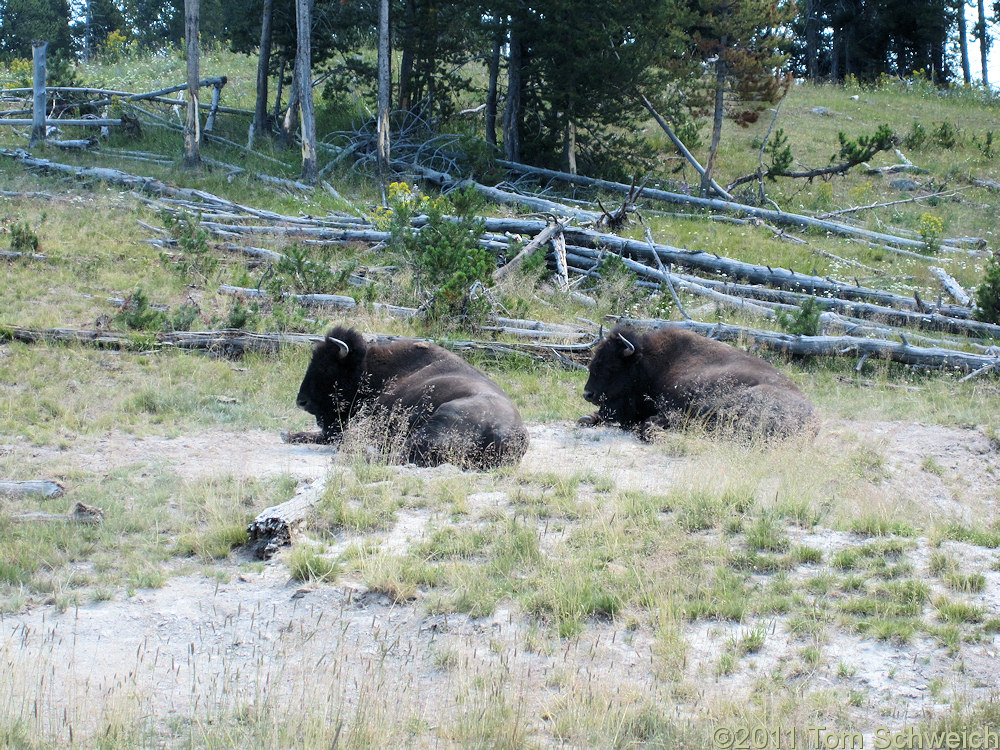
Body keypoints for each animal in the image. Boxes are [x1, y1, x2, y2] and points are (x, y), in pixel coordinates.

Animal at [584, 324, 816, 440]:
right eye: (595, 360)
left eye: (612, 366)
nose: (588, 394)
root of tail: (816, 422)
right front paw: (587, 417)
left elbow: (649, 422)